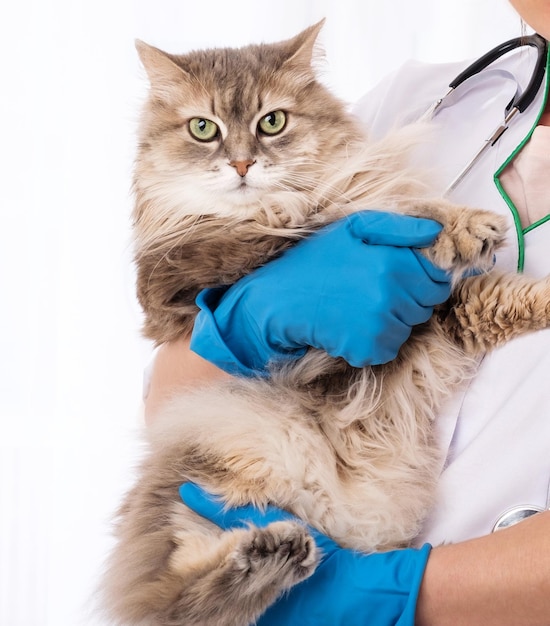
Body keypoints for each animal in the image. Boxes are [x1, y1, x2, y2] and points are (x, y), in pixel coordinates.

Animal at [101, 20, 550, 624]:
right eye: (203, 129)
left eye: (272, 122)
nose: (241, 165)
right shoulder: (191, 278)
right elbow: (340, 218)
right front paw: (456, 228)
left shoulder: (444, 311)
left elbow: (500, 292)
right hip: (195, 486)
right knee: (182, 603)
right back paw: (266, 556)